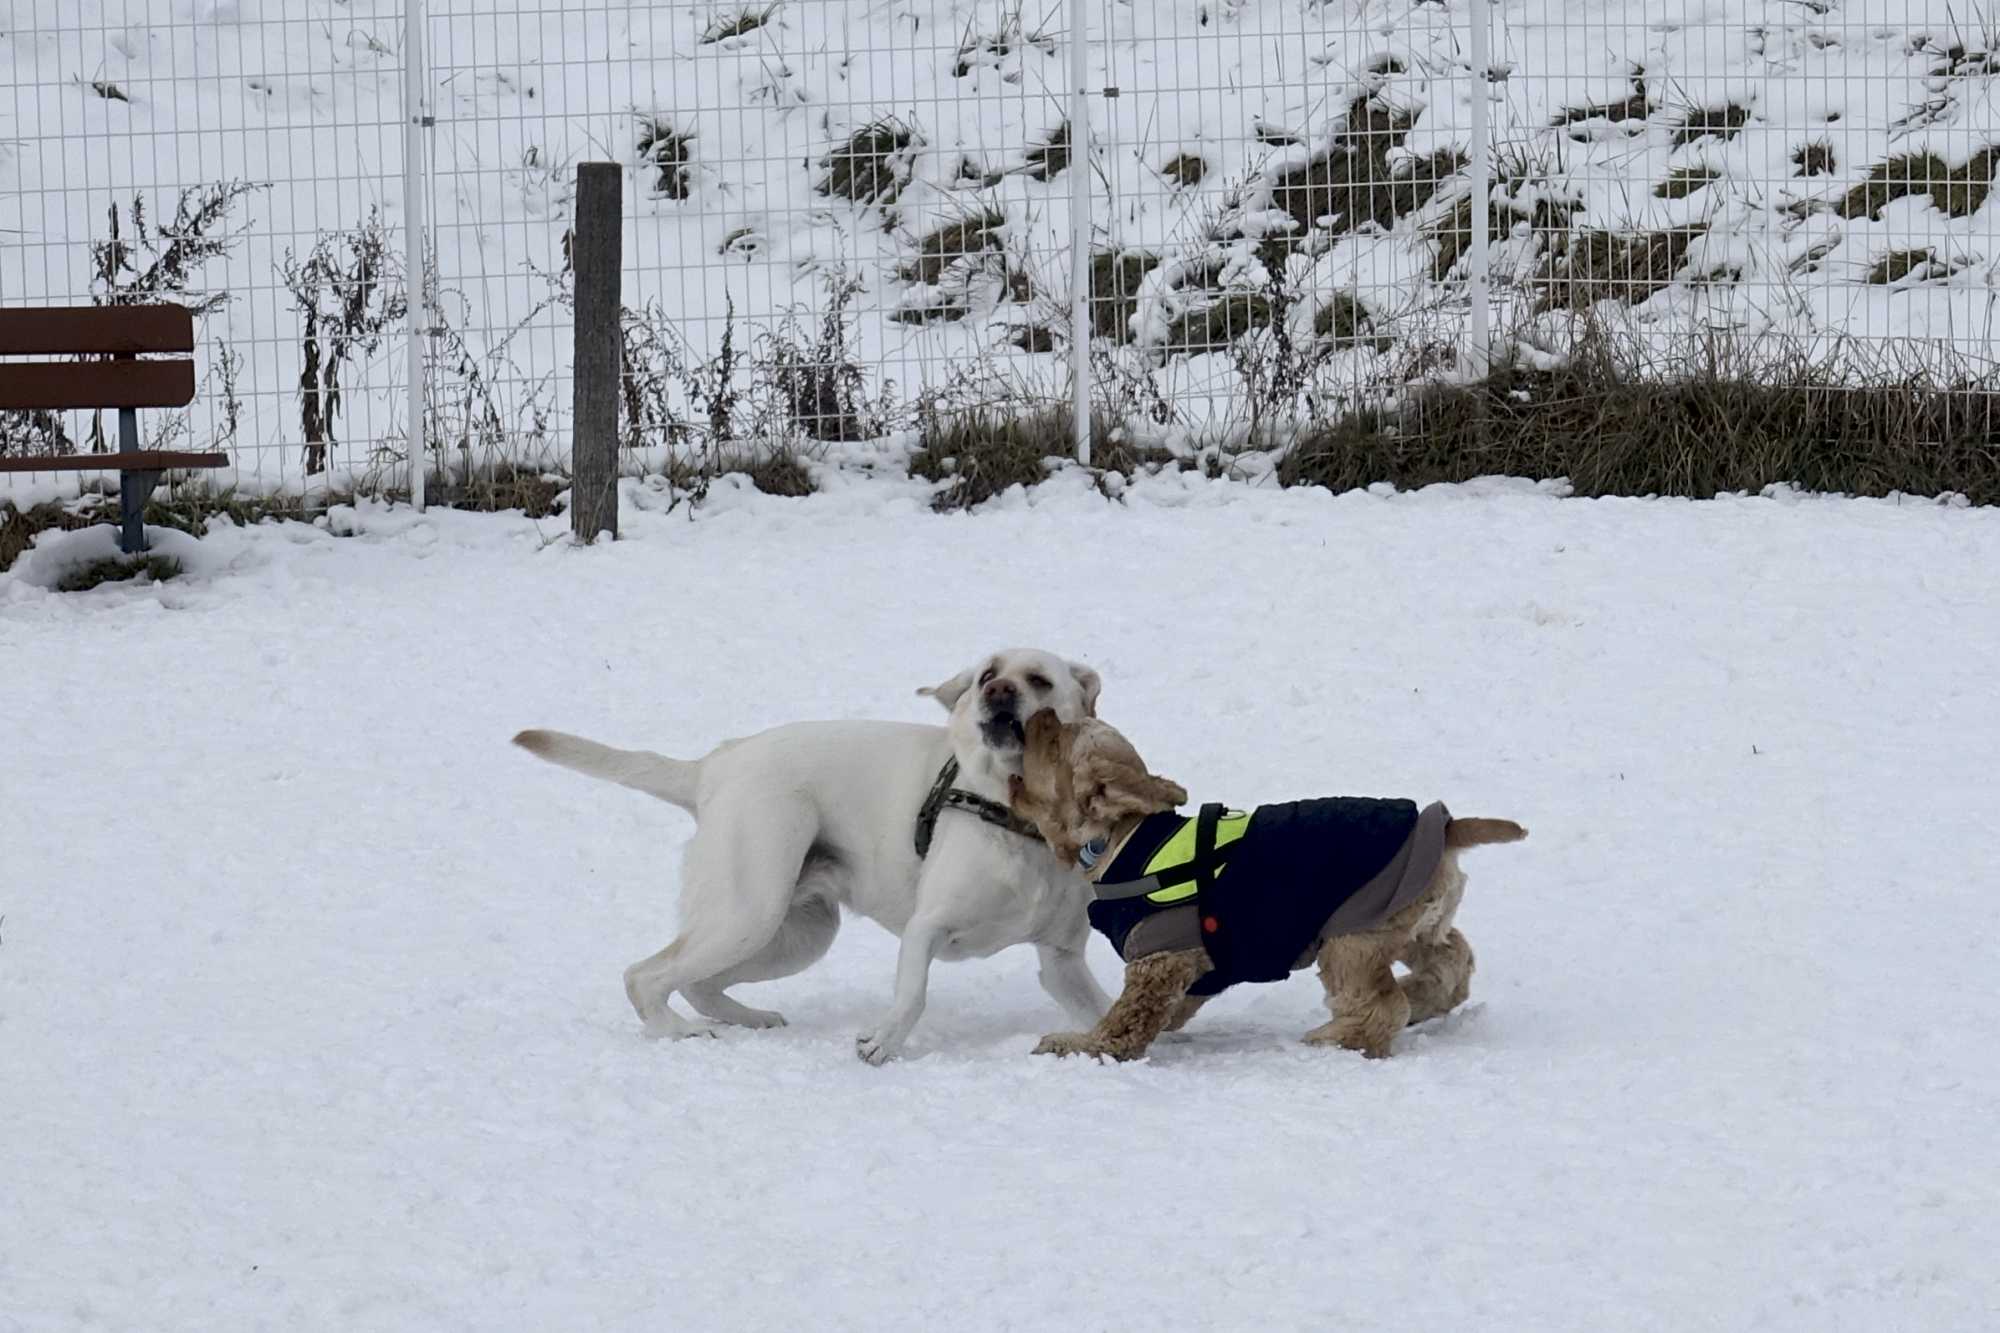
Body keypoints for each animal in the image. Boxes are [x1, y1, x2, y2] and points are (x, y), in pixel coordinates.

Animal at [512, 644, 1112, 1056]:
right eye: (988, 674)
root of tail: (712, 766)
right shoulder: (926, 929)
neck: (1023, 822)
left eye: (1038, 680)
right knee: (645, 975)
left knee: (699, 981)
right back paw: (681, 1032)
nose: (997, 692)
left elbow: (1102, 1008)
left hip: (797, 934)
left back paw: (748, 1018)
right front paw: (882, 1042)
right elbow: (912, 995)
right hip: (751, 910)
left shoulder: (1062, 961)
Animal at [1008, 704, 1520, 1056]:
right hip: (1413, 924)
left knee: (1381, 1005)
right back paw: (1416, 999)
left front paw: (1074, 1044)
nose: (1040, 713)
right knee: (1451, 967)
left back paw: (1333, 1037)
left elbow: (1125, 1025)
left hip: (1353, 934)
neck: (1122, 840)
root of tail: (1445, 827)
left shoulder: (1158, 959)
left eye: (1056, 740)